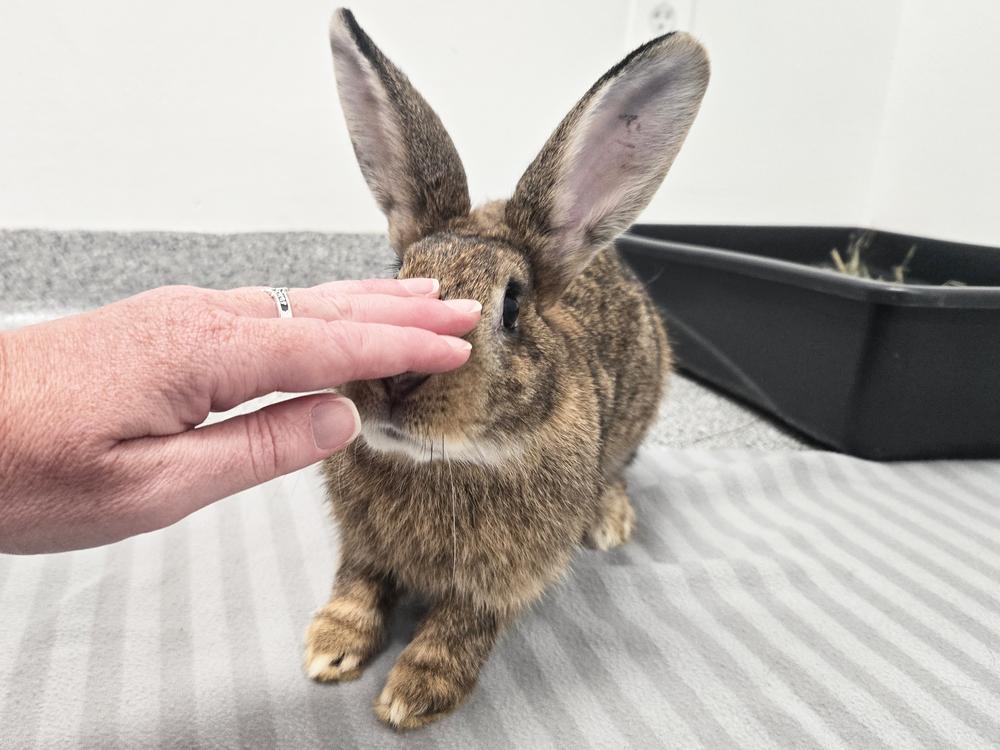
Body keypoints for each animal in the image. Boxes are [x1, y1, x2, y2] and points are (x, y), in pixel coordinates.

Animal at [304, 7, 709, 730]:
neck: (443, 461)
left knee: (618, 472)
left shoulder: (505, 578)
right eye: (397, 274)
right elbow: (358, 584)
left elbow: (463, 625)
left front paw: (414, 694)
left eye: (512, 304)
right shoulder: (362, 545)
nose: (397, 373)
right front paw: (330, 646)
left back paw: (610, 522)